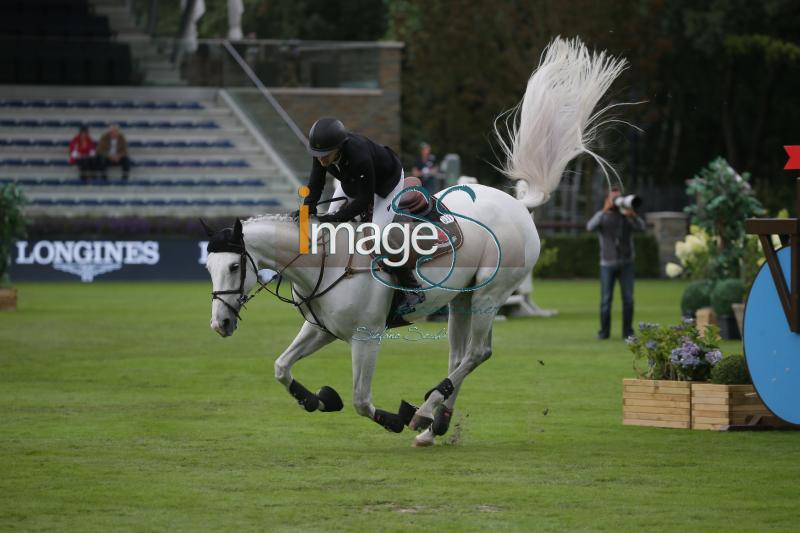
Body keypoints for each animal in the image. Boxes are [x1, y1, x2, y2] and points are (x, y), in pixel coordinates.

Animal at [205, 37, 624, 444]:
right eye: (208, 268)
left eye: (235, 266)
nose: (220, 325)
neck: (323, 266)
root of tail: (518, 205)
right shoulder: (321, 330)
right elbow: (281, 367)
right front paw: (318, 400)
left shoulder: (366, 337)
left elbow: (361, 401)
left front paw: (394, 417)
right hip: (463, 299)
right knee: (459, 355)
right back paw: (434, 426)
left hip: (491, 294)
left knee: (477, 352)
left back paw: (423, 412)